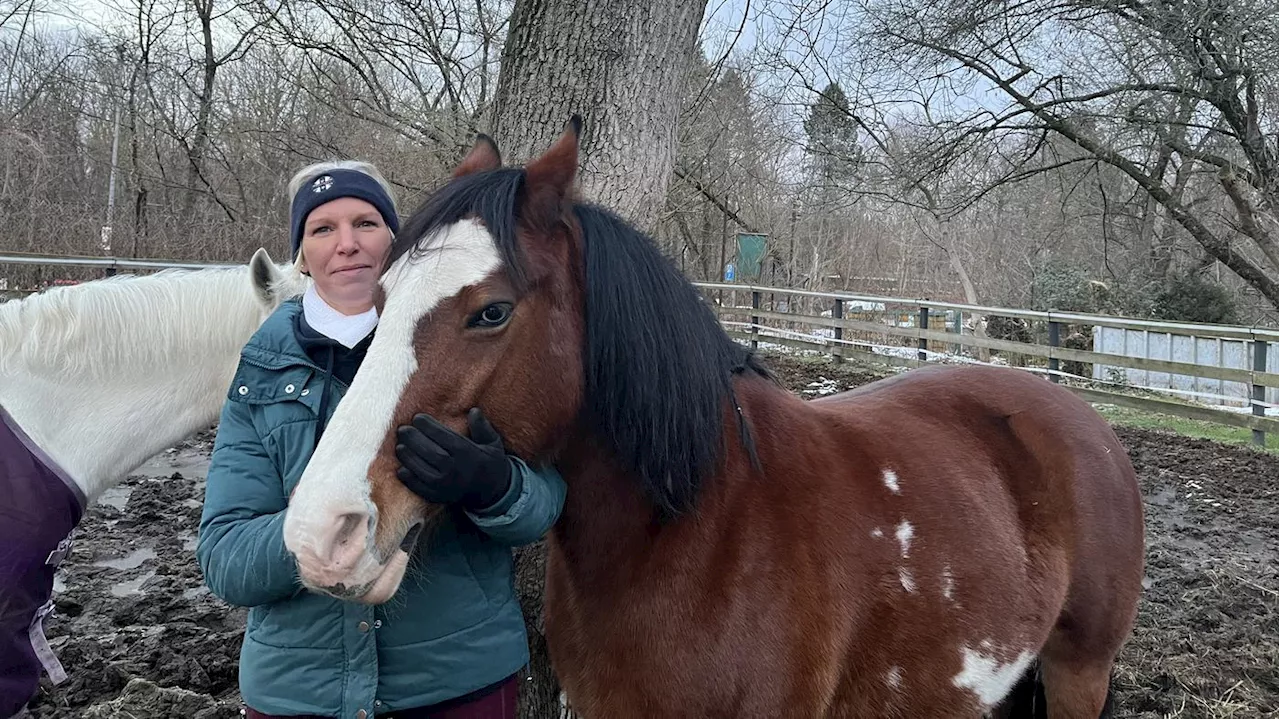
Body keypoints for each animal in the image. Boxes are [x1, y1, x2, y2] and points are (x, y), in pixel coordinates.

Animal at [285, 120, 1146, 711]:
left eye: (490, 311)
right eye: (380, 297)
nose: (321, 530)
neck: (701, 524)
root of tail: (1075, 412)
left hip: (1079, 670)